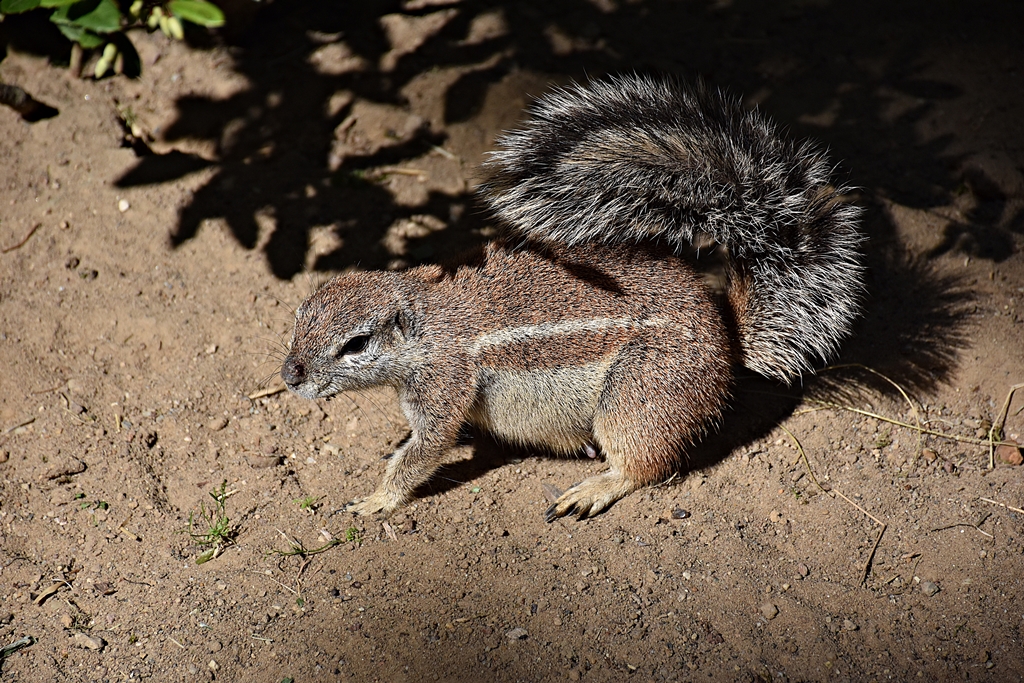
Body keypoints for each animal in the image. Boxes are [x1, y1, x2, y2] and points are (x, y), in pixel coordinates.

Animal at [281, 74, 863, 521]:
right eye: (300, 313)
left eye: (356, 344)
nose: (289, 376)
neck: (425, 322)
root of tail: (729, 338)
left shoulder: (444, 389)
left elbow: (422, 455)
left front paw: (375, 500)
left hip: (638, 398)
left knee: (643, 464)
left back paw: (593, 489)